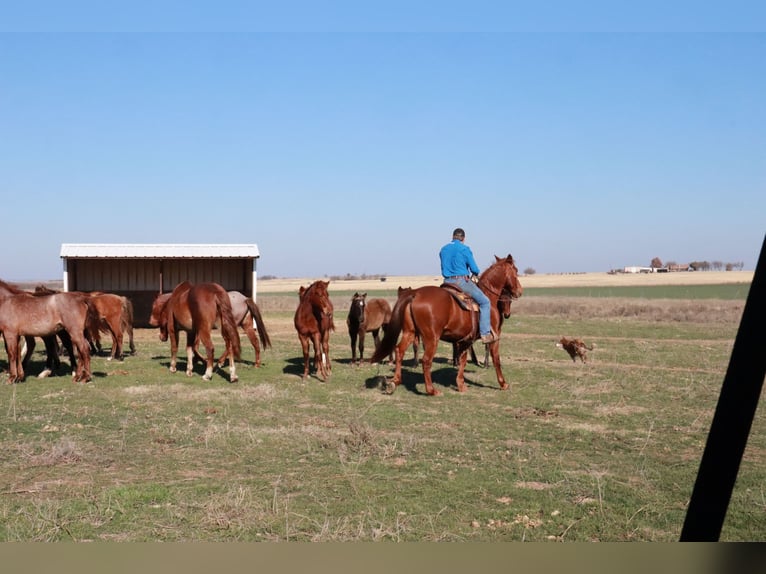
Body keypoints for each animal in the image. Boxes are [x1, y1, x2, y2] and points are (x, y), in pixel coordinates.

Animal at [370, 255, 523, 396]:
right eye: (515, 270)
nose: (519, 291)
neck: (489, 299)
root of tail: (414, 294)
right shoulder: (494, 337)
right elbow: (496, 359)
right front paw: (503, 383)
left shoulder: (465, 340)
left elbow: (462, 360)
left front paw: (461, 385)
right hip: (432, 338)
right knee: (426, 360)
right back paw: (431, 390)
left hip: (410, 332)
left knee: (399, 351)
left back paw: (394, 382)